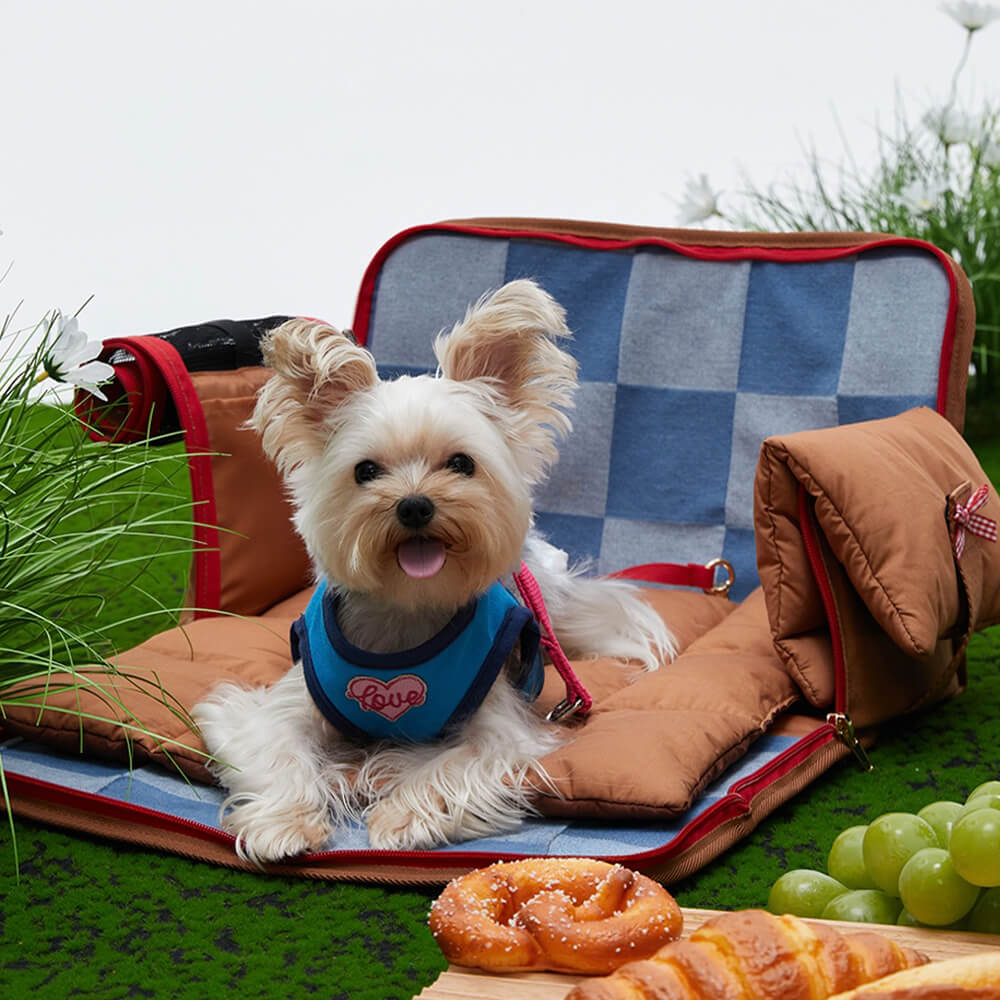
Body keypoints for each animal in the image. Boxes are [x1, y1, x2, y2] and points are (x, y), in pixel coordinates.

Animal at [191, 278, 676, 864]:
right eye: (365, 471)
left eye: (462, 463)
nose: (415, 505)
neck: (407, 610)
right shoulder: (275, 708)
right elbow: (274, 747)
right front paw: (281, 825)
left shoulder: (497, 729)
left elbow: (447, 765)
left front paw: (400, 815)